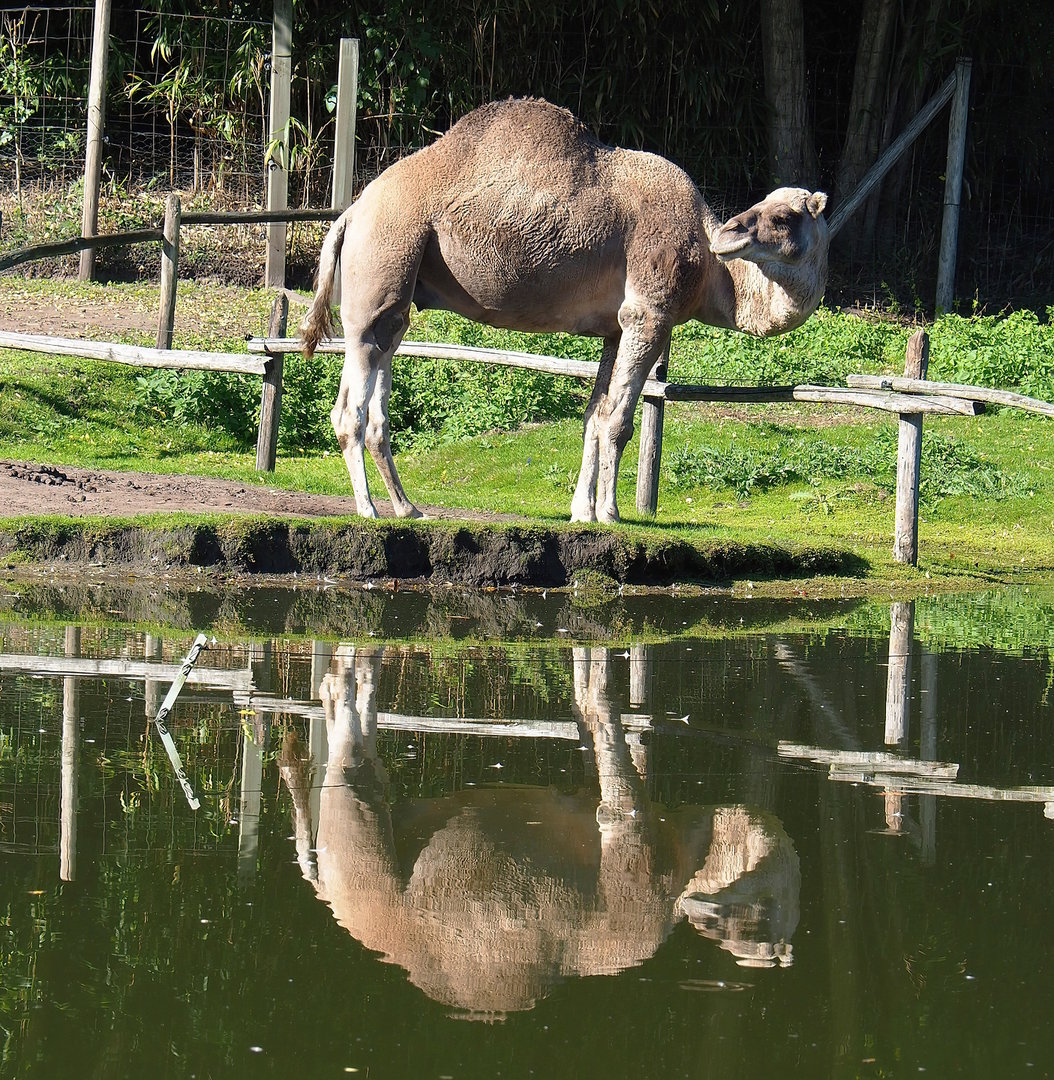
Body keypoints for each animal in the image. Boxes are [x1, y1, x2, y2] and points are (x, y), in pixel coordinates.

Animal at [278, 645, 800, 1014]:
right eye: (754, 925)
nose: (704, 913)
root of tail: (326, 891)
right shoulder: (638, 862)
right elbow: (605, 723)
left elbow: (587, 708)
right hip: (364, 869)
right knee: (353, 761)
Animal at [301, 97, 829, 523]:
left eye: (784, 214)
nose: (730, 234)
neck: (709, 272)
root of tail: (350, 213)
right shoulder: (650, 312)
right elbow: (618, 421)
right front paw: (611, 514)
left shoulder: (617, 326)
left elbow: (595, 416)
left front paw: (582, 511)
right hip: (383, 263)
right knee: (350, 407)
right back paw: (368, 510)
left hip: (394, 295)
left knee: (378, 392)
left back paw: (409, 508)